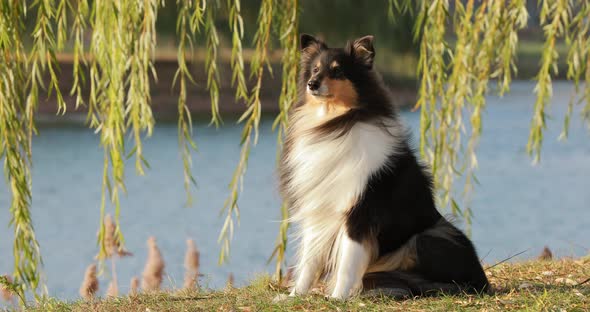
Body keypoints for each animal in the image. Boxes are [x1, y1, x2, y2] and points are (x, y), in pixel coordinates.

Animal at [280, 34, 492, 300]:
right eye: (316, 69)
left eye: (337, 71)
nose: (312, 84)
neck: (337, 122)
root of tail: (483, 282)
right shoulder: (319, 208)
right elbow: (309, 260)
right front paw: (294, 296)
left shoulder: (360, 211)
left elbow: (348, 262)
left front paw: (338, 298)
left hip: (429, 236)